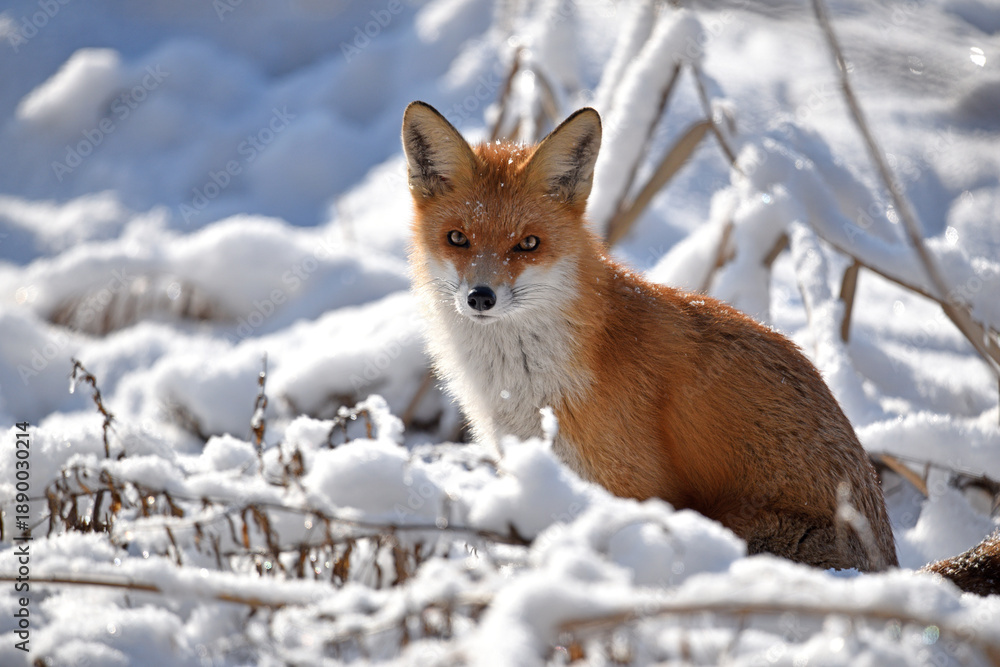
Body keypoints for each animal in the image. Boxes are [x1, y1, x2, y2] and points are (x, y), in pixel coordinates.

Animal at [402, 100, 999, 590]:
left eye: (528, 244)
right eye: (458, 239)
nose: (481, 297)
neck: (523, 383)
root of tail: (893, 570)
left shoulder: (635, 486)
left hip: (737, 528)